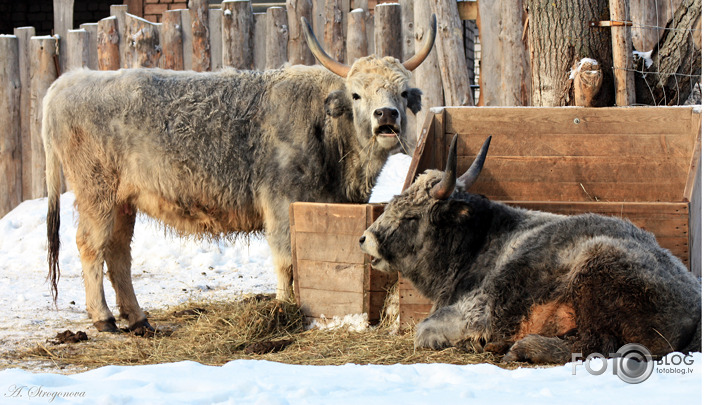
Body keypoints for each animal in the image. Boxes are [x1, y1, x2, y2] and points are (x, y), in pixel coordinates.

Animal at [44, 17, 436, 332]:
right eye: (357, 95)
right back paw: (104, 318)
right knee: (90, 247)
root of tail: (68, 82)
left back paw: (138, 319)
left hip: (123, 203)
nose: (386, 116)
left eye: (402, 93)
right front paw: (287, 308)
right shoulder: (281, 205)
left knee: (118, 254)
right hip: (96, 195)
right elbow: (286, 261)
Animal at [360, 134, 704, 362]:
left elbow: (424, 330)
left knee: (595, 347)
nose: (366, 239)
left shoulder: (473, 312)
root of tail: (695, 297)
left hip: (594, 273)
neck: (478, 243)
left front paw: (469, 342)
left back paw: (518, 347)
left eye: (411, 215)